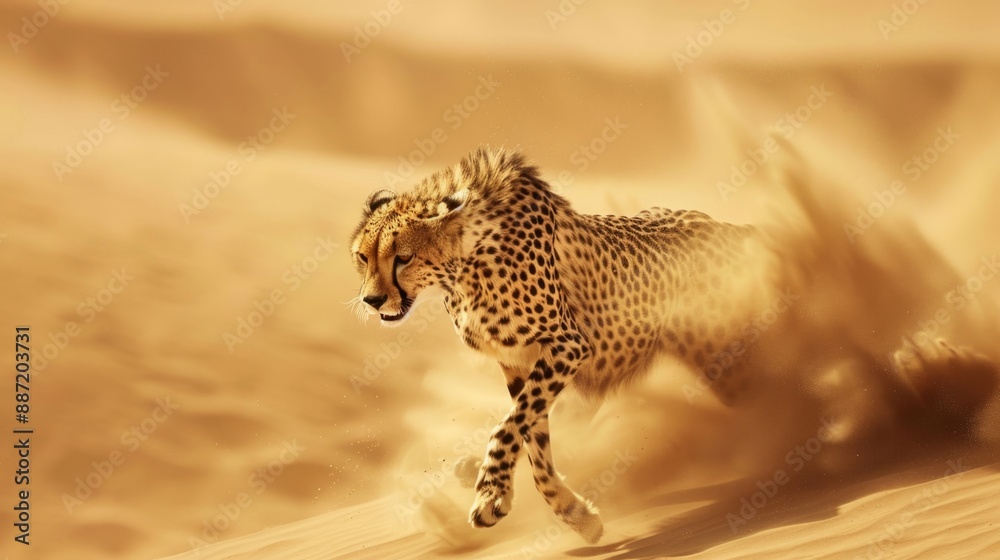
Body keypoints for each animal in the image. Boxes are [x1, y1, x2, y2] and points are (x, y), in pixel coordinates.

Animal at [349, 146, 782, 543]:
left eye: (403, 257)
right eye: (362, 257)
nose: (371, 300)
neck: (465, 261)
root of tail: (721, 225)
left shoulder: (566, 346)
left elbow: (508, 426)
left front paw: (490, 493)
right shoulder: (518, 362)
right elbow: (531, 436)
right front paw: (575, 515)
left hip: (725, 361)